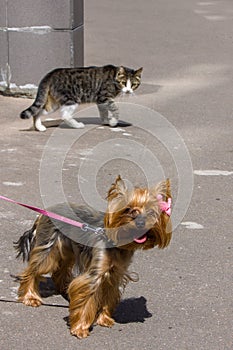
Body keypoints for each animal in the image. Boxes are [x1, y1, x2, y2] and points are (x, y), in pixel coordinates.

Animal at [14, 176, 171, 338]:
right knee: (33, 270)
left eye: (151, 211)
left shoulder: (115, 273)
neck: (118, 242)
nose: (140, 223)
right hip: (48, 248)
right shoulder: (94, 274)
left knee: (60, 270)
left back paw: (64, 290)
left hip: (68, 249)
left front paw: (105, 319)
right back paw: (30, 297)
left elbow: (109, 295)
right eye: (128, 210)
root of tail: (44, 212)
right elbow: (86, 299)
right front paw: (80, 328)